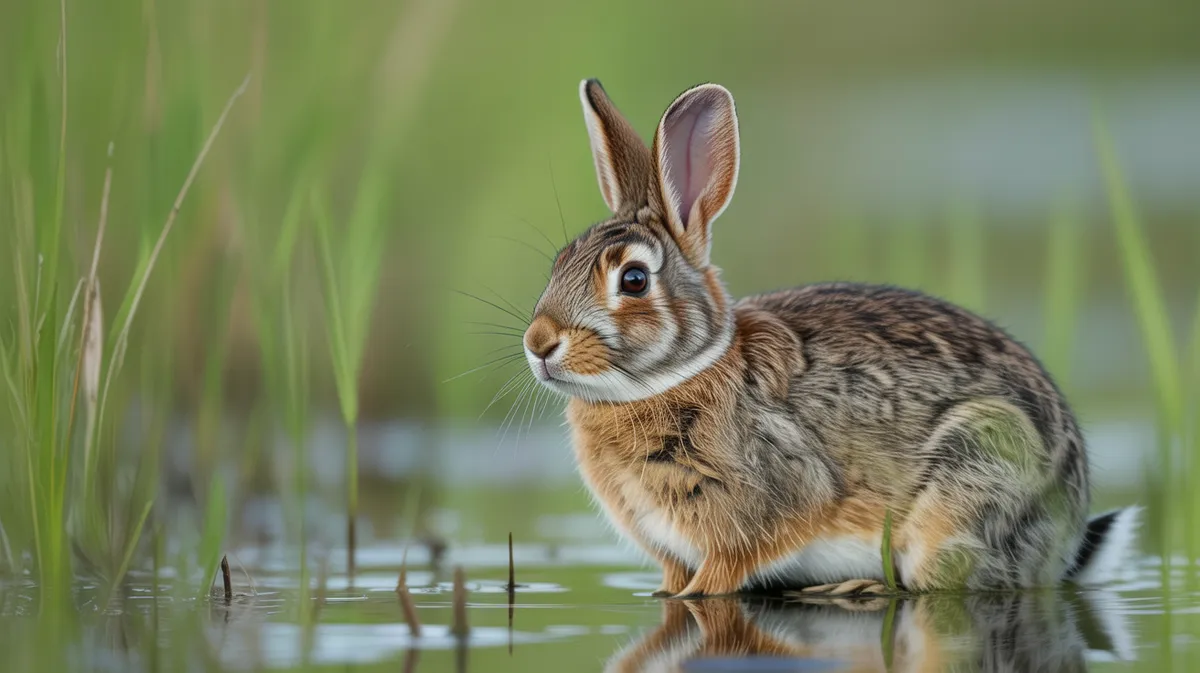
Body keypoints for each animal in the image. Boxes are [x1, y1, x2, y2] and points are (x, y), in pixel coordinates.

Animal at [520, 78, 1140, 598]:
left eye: (633, 280)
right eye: (559, 263)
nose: (539, 342)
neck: (675, 376)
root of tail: (1068, 534)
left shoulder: (773, 495)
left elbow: (723, 574)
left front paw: (693, 597)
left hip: (973, 473)